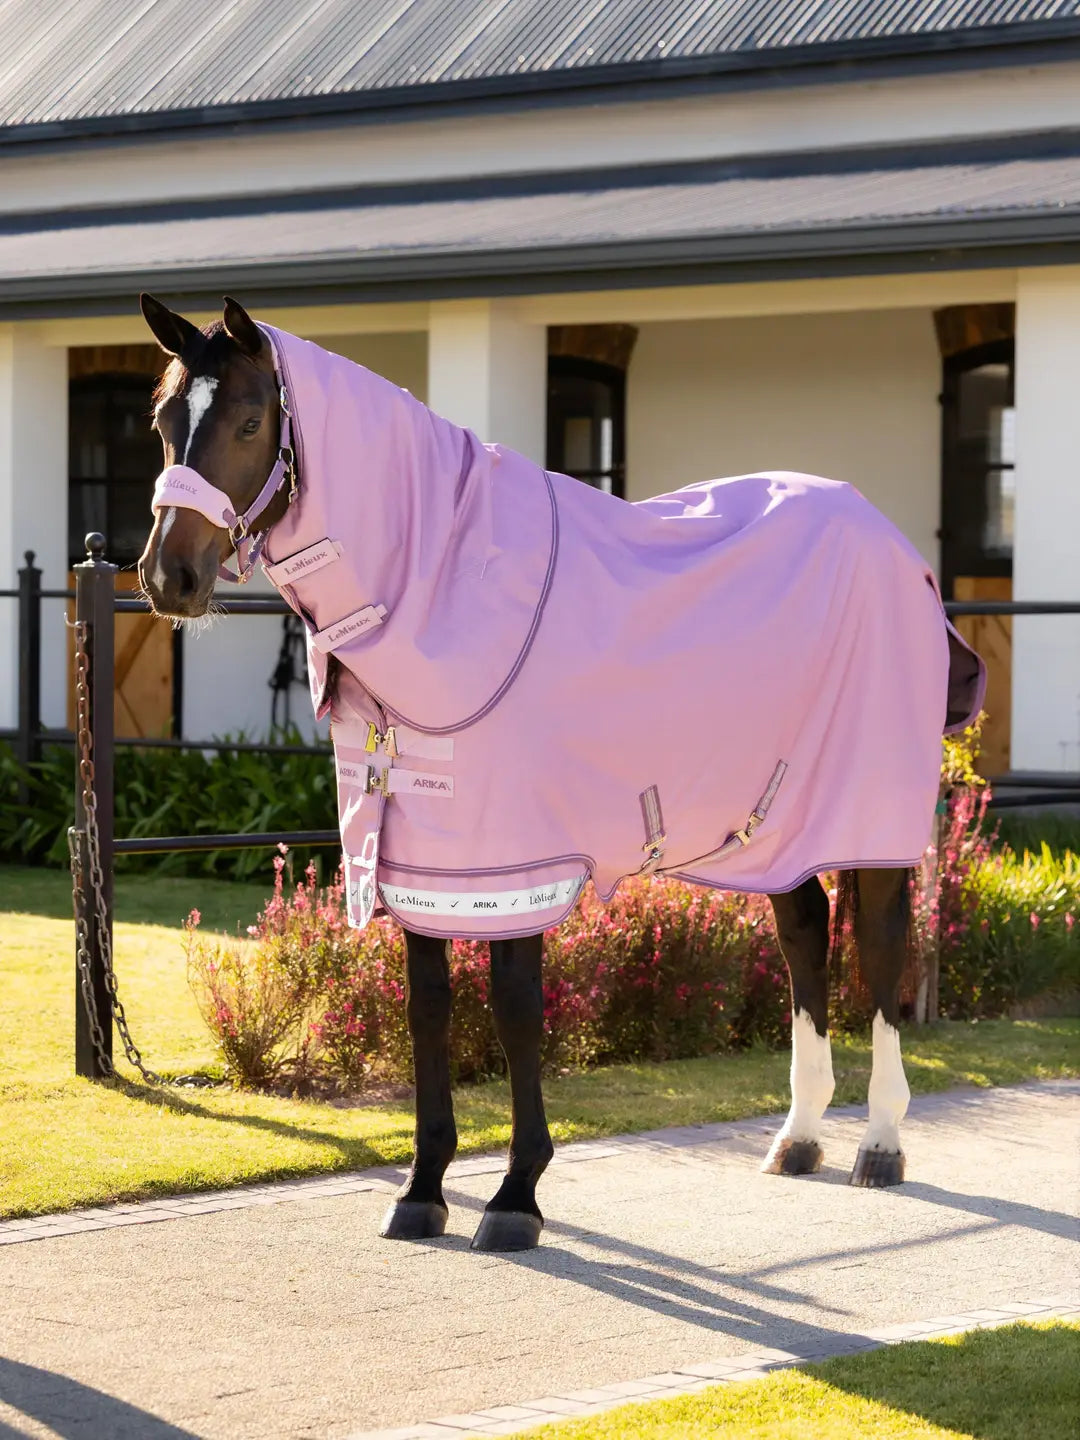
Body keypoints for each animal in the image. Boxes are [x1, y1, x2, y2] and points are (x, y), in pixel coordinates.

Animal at [136, 293, 984, 1253]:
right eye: (164, 423)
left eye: (249, 421)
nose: (169, 575)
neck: (450, 587)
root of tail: (899, 551)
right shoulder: (426, 864)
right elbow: (428, 1008)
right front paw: (422, 1191)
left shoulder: (518, 862)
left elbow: (513, 1010)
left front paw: (515, 1198)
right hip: (781, 825)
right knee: (805, 940)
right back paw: (798, 1137)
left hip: (868, 820)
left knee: (881, 951)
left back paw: (880, 1143)